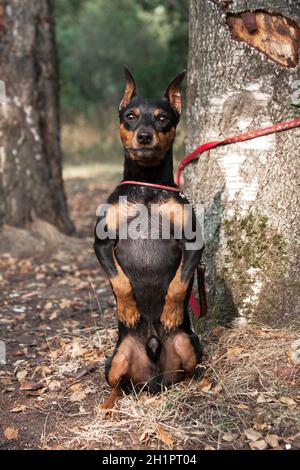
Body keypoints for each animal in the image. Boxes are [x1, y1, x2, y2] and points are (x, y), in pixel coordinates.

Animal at [94, 67, 203, 408]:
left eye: (162, 118)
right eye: (130, 116)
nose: (144, 136)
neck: (147, 185)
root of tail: (153, 381)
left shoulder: (193, 242)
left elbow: (179, 284)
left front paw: (170, 312)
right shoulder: (101, 243)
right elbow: (120, 281)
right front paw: (128, 310)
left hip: (188, 343)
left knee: (188, 374)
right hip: (115, 360)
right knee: (117, 385)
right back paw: (108, 407)